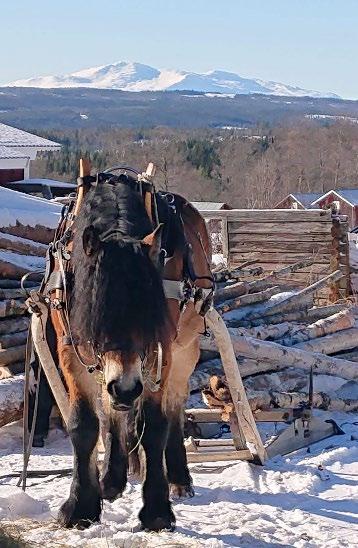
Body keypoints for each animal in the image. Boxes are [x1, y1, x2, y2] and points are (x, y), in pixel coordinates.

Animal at [45, 168, 213, 532]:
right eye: (96, 314)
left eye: (149, 317)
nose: (125, 388)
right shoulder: (72, 350)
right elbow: (85, 425)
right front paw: (81, 506)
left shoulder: (161, 351)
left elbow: (155, 424)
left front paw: (157, 510)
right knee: (112, 413)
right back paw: (111, 480)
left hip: (185, 350)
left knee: (174, 407)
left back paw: (179, 478)